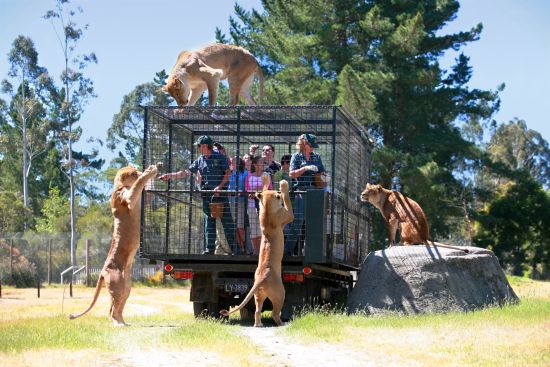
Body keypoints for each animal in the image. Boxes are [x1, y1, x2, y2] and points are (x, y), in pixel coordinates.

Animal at [69, 165, 157, 326]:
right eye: (133, 173)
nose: (139, 171)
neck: (120, 185)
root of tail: (103, 270)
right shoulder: (128, 198)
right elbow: (138, 185)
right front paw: (150, 171)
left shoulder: (142, 201)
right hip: (117, 285)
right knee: (111, 311)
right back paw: (118, 324)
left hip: (126, 286)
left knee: (116, 307)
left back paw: (124, 323)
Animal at [222, 176, 296, 328]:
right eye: (277, 194)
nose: (278, 190)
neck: (267, 209)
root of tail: (262, 277)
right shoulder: (287, 216)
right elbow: (288, 202)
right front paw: (284, 186)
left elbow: (263, 189)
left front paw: (265, 179)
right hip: (280, 293)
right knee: (274, 313)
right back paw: (282, 323)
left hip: (258, 295)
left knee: (257, 310)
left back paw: (258, 324)